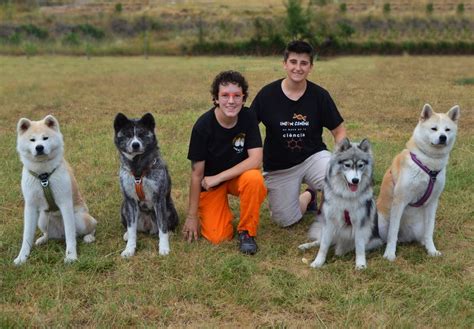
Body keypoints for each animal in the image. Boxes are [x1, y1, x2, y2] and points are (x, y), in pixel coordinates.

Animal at [14, 114, 97, 264]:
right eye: (32, 140)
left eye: (45, 138)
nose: (39, 147)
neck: (43, 175)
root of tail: (60, 233)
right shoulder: (30, 206)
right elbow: (27, 236)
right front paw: (22, 257)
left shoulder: (65, 203)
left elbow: (70, 236)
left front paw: (71, 256)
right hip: (42, 219)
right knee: (49, 234)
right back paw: (43, 239)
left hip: (80, 219)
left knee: (87, 229)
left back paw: (89, 237)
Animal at [114, 112, 179, 256]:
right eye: (127, 135)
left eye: (142, 134)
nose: (135, 145)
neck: (138, 168)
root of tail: (148, 226)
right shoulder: (130, 201)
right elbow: (132, 230)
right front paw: (129, 249)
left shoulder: (159, 199)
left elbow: (163, 228)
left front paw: (164, 248)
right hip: (124, 208)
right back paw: (126, 234)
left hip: (170, 209)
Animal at [300, 138, 386, 270]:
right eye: (347, 165)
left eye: (361, 165)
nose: (355, 180)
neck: (346, 196)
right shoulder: (329, 222)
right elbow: (323, 246)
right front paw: (318, 262)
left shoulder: (360, 225)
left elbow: (359, 247)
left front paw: (360, 264)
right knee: (320, 240)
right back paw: (306, 246)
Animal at [378, 104, 460, 260]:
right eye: (434, 128)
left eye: (447, 130)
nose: (443, 137)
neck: (429, 164)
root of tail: (404, 237)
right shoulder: (400, 200)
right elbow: (393, 233)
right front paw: (389, 254)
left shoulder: (432, 202)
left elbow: (429, 231)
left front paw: (431, 250)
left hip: (418, 225)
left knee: (421, 234)